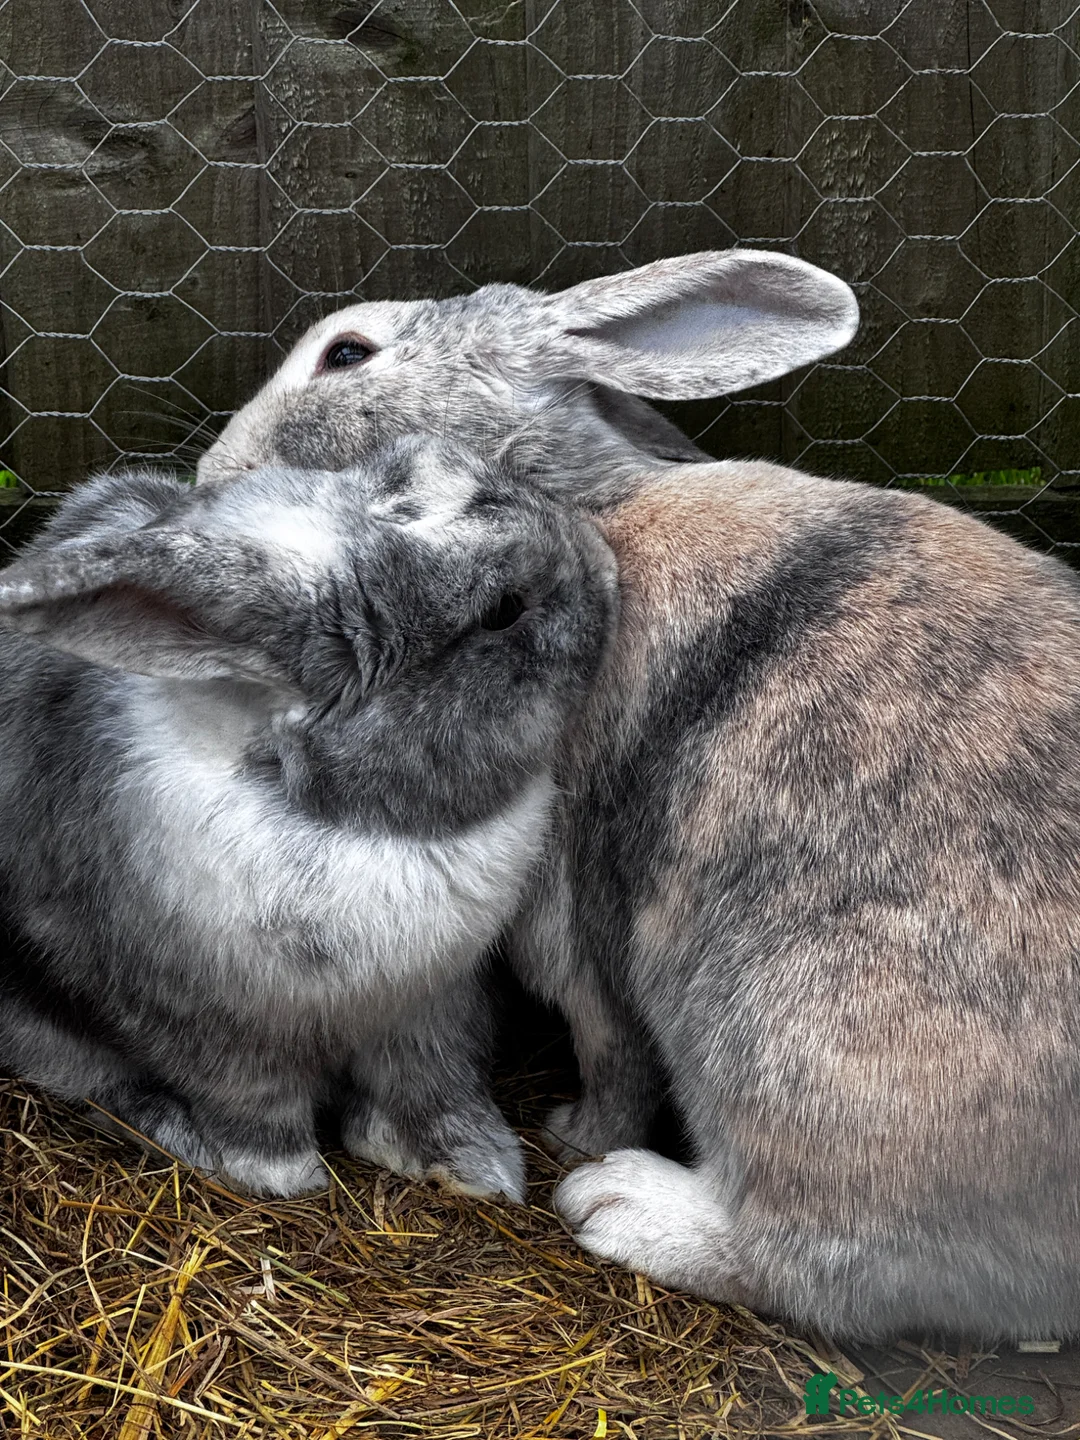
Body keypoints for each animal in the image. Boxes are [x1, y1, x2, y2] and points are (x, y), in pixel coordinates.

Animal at [0, 436, 617, 1200]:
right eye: (503, 609)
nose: (603, 557)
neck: (352, 825)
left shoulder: (434, 1005)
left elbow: (431, 1086)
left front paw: (473, 1166)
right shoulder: (209, 1033)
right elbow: (253, 1105)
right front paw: (281, 1175)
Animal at [195, 249, 1080, 1342]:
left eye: (348, 353)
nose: (211, 477)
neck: (577, 511)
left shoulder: (575, 923)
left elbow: (609, 1048)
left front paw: (575, 1133)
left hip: (799, 1046)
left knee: (826, 1260)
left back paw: (619, 1202)